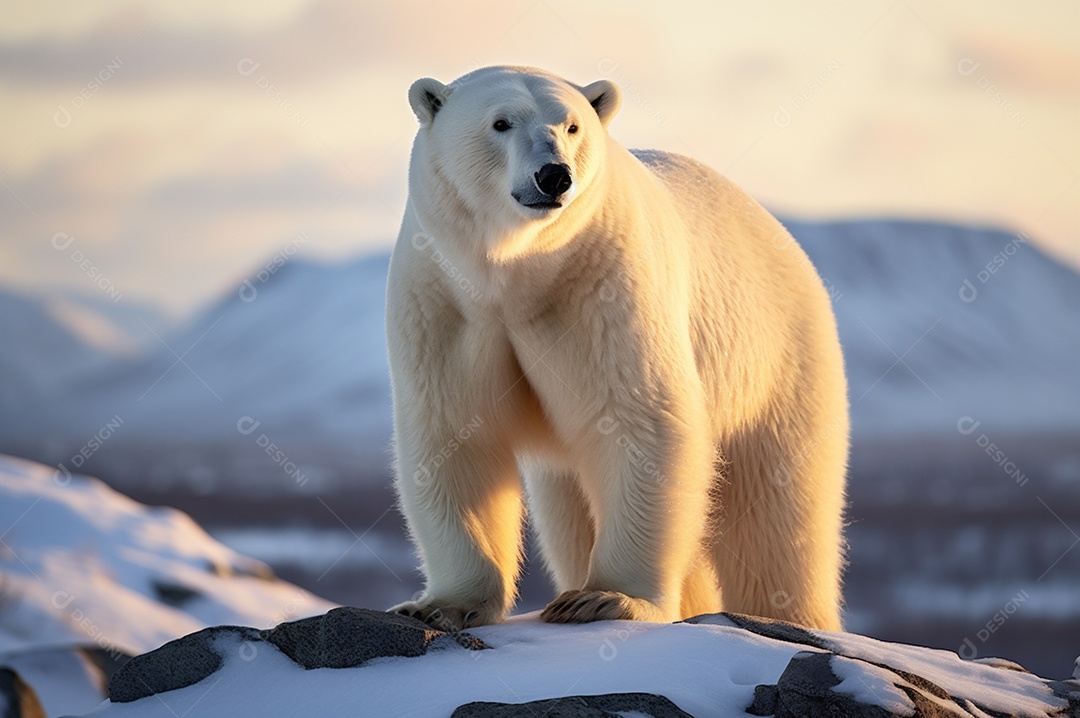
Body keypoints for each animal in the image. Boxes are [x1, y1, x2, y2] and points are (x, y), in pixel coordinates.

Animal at [384, 64, 846, 630]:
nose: (553, 176)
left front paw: (605, 598)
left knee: (778, 518)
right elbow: (455, 433)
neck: (516, 276)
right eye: (501, 122)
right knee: (568, 510)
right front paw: (442, 605)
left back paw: (790, 616)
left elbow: (640, 419)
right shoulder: (445, 302)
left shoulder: (603, 285)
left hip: (777, 363)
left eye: (572, 125)